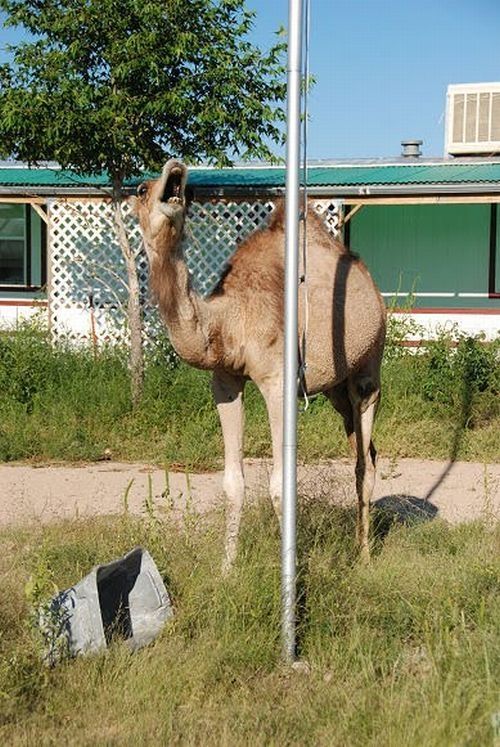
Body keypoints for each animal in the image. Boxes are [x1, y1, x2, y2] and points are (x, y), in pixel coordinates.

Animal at [131, 158, 384, 568]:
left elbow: (281, 486)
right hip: (335, 387)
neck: (228, 321)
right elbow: (232, 483)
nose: (177, 169)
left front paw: (292, 572)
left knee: (366, 459)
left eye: (188, 191)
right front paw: (226, 570)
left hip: (369, 365)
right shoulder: (225, 382)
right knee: (365, 449)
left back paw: (363, 556)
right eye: (140, 189)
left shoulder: (278, 381)